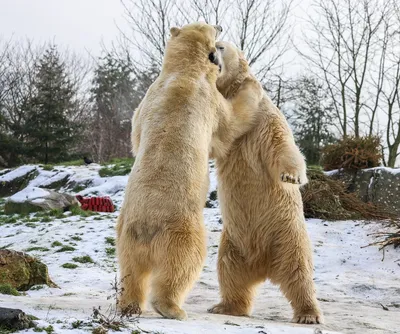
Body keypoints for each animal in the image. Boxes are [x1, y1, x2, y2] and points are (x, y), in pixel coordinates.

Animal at [115, 23, 260, 320]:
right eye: (213, 28)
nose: (220, 24)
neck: (183, 71)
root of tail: (147, 230)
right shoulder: (209, 100)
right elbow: (230, 124)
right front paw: (251, 86)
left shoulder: (148, 97)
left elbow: (135, 134)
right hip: (181, 230)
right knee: (183, 263)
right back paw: (171, 308)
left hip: (124, 234)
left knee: (131, 269)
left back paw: (129, 304)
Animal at [208, 41, 324, 324]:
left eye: (221, 46)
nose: (211, 54)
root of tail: (262, 265)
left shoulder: (265, 118)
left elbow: (281, 144)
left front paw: (292, 177)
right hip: (233, 241)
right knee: (229, 270)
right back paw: (226, 306)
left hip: (286, 233)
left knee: (299, 271)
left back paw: (308, 314)